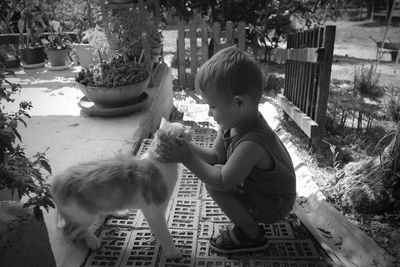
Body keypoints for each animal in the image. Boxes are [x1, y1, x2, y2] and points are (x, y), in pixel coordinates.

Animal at [50, 118, 192, 260]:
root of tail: (57, 181)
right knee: (71, 230)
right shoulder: (154, 209)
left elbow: (156, 226)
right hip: (84, 214)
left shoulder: (152, 210)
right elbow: (164, 232)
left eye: (184, 125)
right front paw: (172, 251)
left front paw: (155, 233)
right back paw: (91, 239)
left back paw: (118, 212)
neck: (159, 161)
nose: (191, 128)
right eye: (181, 134)